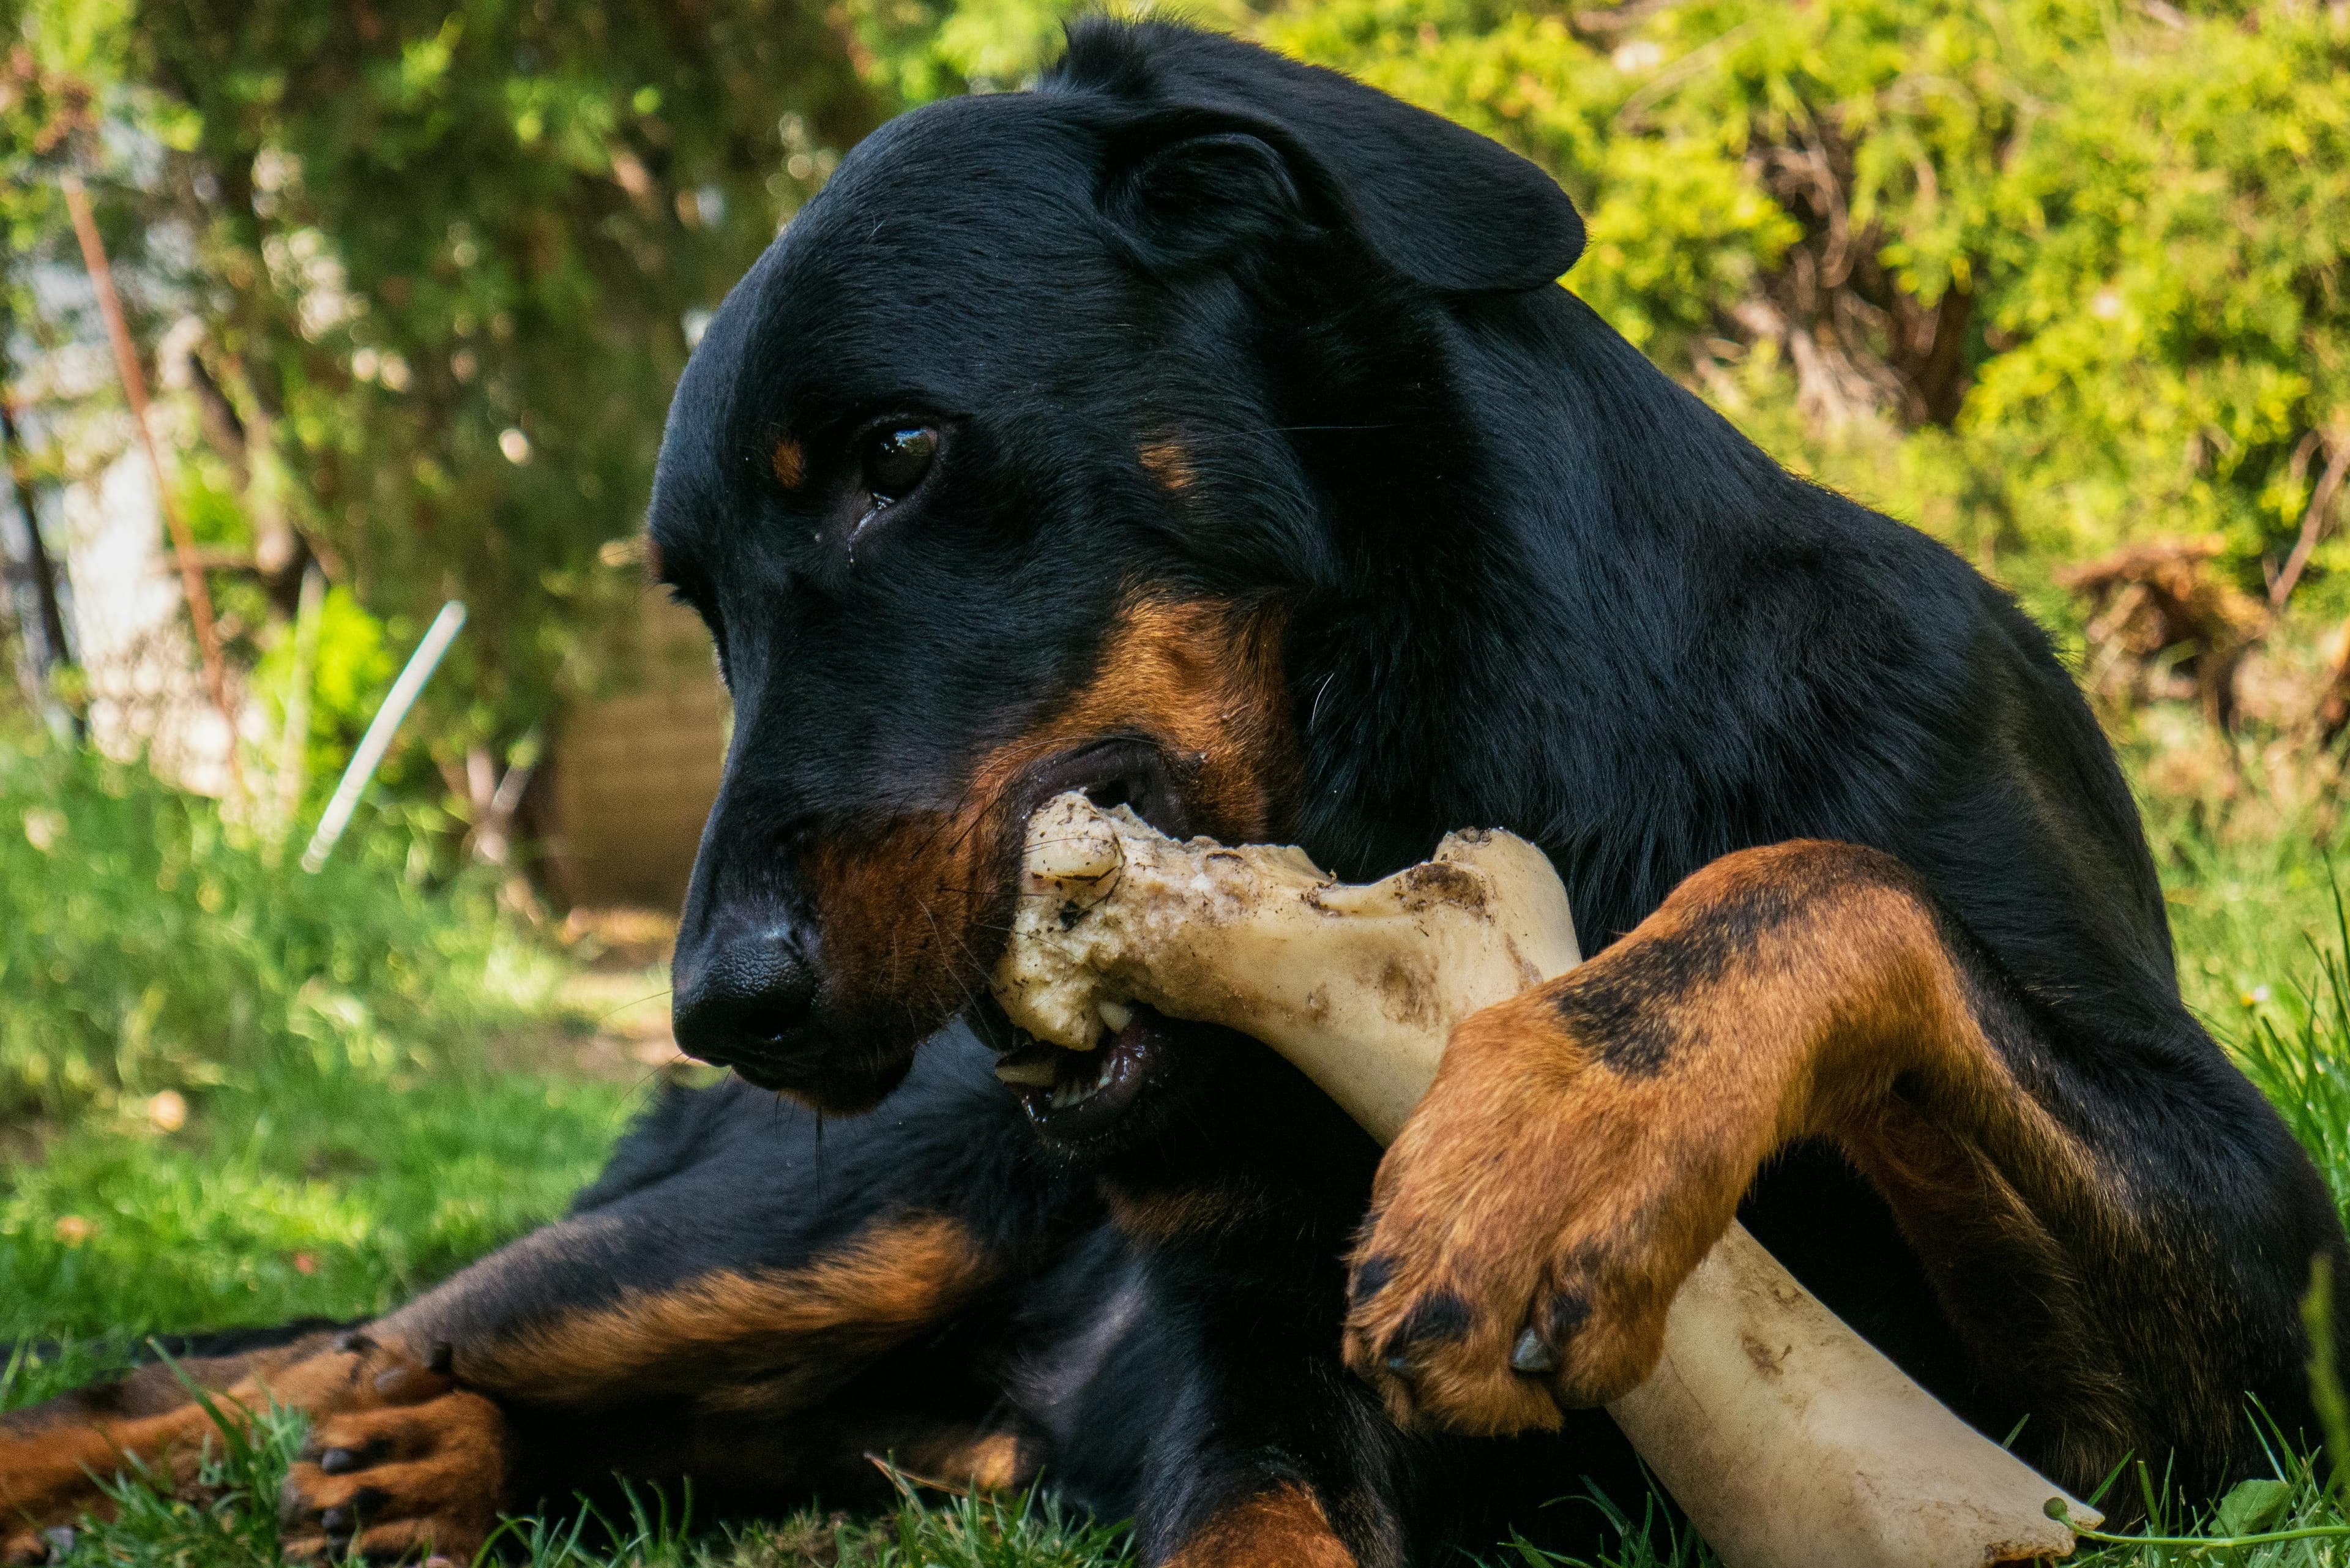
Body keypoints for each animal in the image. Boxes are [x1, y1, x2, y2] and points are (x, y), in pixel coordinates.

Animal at [4, 15, 2350, 1568]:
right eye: (696, 598)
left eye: (897, 458)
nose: (724, 1007)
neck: (1464, 754)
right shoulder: (1255, 1372)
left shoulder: (2206, 1359)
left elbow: (1831, 875)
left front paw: (1547, 1129)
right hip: (812, 1228)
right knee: (277, 1350)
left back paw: (434, 1470)